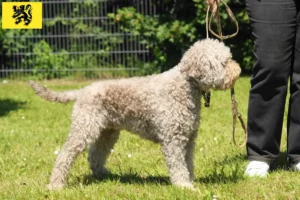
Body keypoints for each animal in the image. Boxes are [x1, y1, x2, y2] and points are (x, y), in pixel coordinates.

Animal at [29, 38, 241, 191]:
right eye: (224, 62)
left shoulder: (189, 138)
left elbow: (188, 162)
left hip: (108, 131)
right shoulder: (173, 139)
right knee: (65, 154)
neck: (185, 86)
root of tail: (83, 91)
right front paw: (183, 186)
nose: (238, 70)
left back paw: (103, 174)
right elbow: (178, 164)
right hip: (84, 127)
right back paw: (56, 185)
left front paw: (190, 180)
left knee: (96, 153)